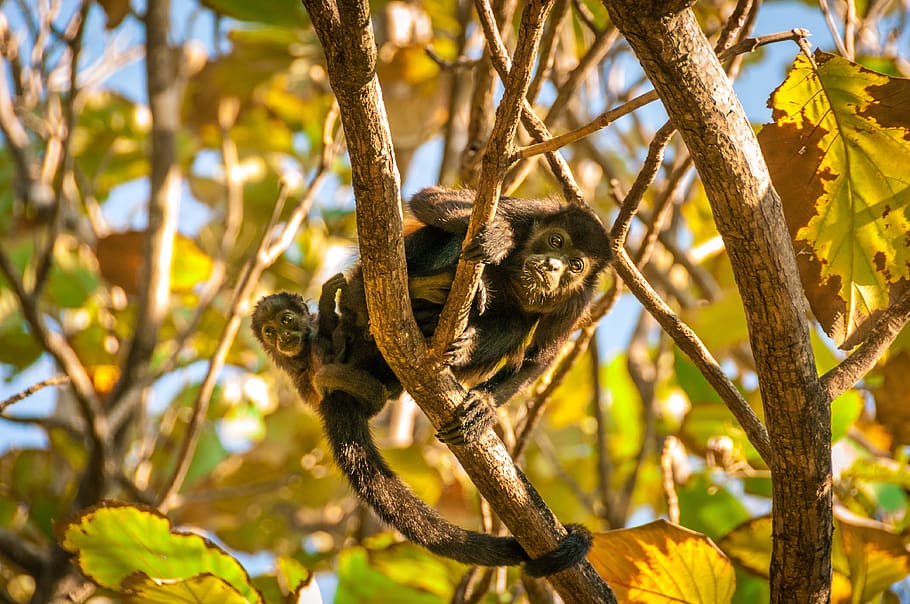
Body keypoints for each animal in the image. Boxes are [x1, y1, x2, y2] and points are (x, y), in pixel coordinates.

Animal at [252, 187, 611, 577]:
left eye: (576, 265)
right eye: (555, 240)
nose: (551, 265)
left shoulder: (577, 303)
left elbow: (538, 359)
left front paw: (484, 408)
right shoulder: (533, 211)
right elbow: (431, 200)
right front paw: (501, 238)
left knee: (515, 322)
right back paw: (381, 296)